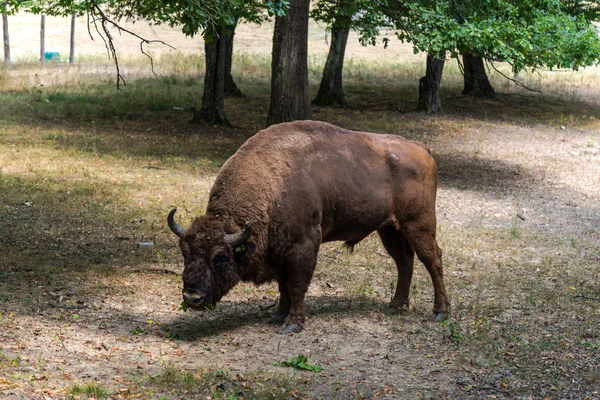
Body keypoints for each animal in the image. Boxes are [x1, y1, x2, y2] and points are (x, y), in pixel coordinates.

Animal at [169, 120, 450, 332]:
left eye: (220, 257)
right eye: (185, 253)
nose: (192, 297)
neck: (272, 185)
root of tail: (421, 148)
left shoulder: (302, 247)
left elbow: (296, 285)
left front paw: (292, 324)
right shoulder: (279, 252)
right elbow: (283, 286)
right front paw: (277, 316)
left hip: (419, 224)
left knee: (432, 259)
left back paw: (440, 312)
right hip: (390, 228)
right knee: (404, 260)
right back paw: (395, 305)